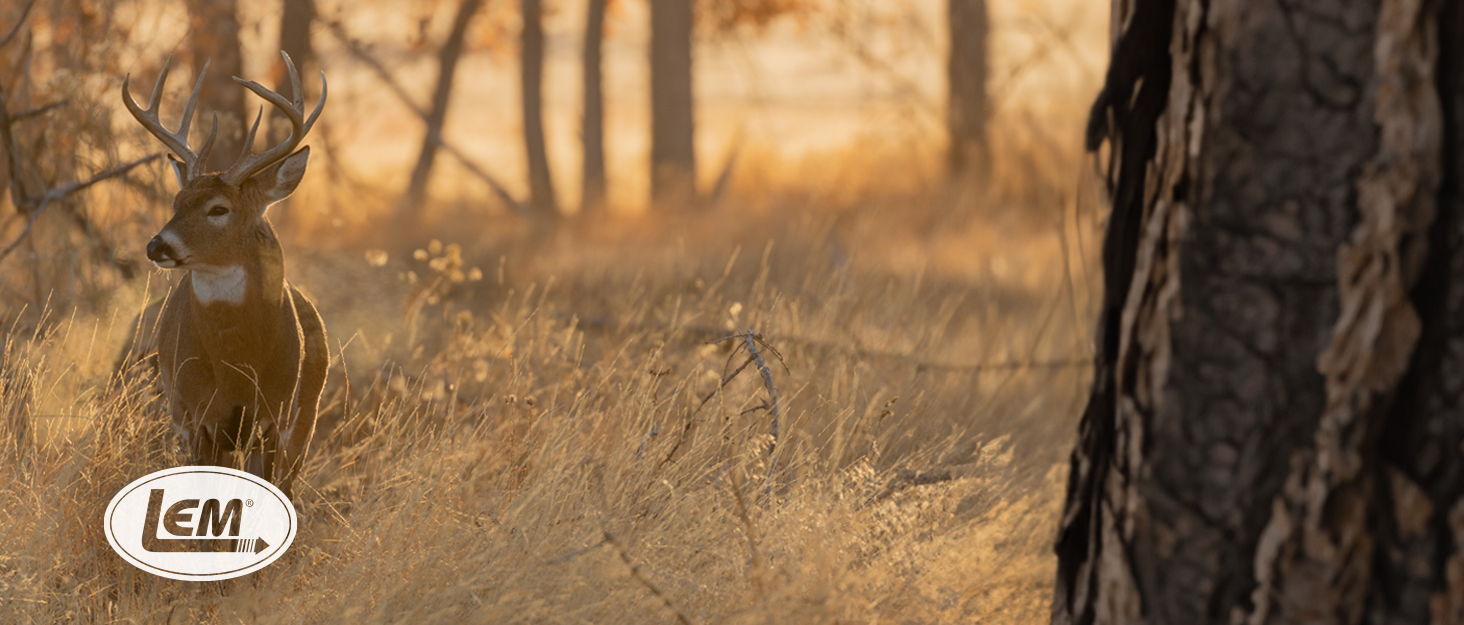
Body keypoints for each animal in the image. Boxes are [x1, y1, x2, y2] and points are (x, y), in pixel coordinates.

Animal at [119, 52, 328, 499]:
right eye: (177, 201)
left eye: (219, 208)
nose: (157, 246)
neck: (237, 366)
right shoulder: (198, 416)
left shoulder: (276, 417)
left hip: (306, 421)